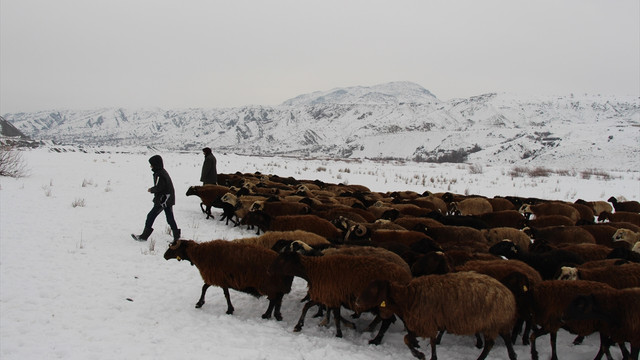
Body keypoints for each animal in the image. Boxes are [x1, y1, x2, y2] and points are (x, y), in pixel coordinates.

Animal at [165, 239, 296, 320]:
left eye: (173, 248)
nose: (164, 256)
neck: (200, 254)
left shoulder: (219, 277)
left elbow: (220, 293)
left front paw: (228, 310)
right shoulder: (220, 278)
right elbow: (207, 288)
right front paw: (201, 303)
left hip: (270, 285)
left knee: (273, 300)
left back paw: (266, 315)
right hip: (277, 287)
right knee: (277, 300)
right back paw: (276, 315)